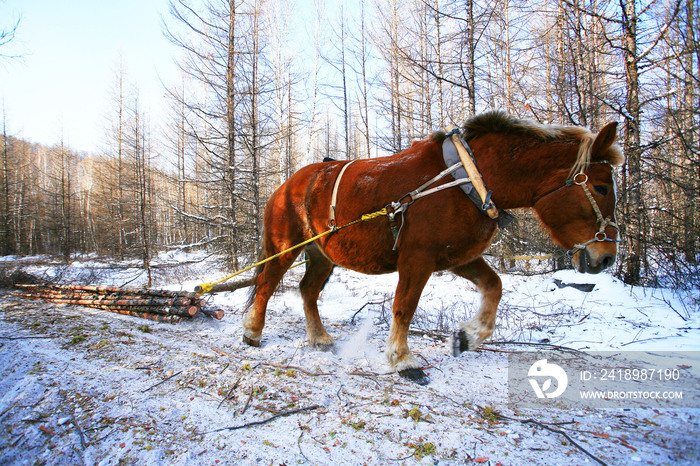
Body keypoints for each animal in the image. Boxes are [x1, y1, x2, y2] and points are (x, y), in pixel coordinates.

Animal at [242, 111, 624, 384]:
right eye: (602, 187)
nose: (606, 258)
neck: (468, 180)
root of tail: (285, 186)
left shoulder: (458, 256)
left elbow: (495, 287)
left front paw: (467, 337)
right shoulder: (418, 258)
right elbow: (404, 307)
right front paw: (402, 360)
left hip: (322, 254)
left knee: (307, 290)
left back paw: (319, 338)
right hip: (285, 246)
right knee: (267, 284)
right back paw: (253, 332)